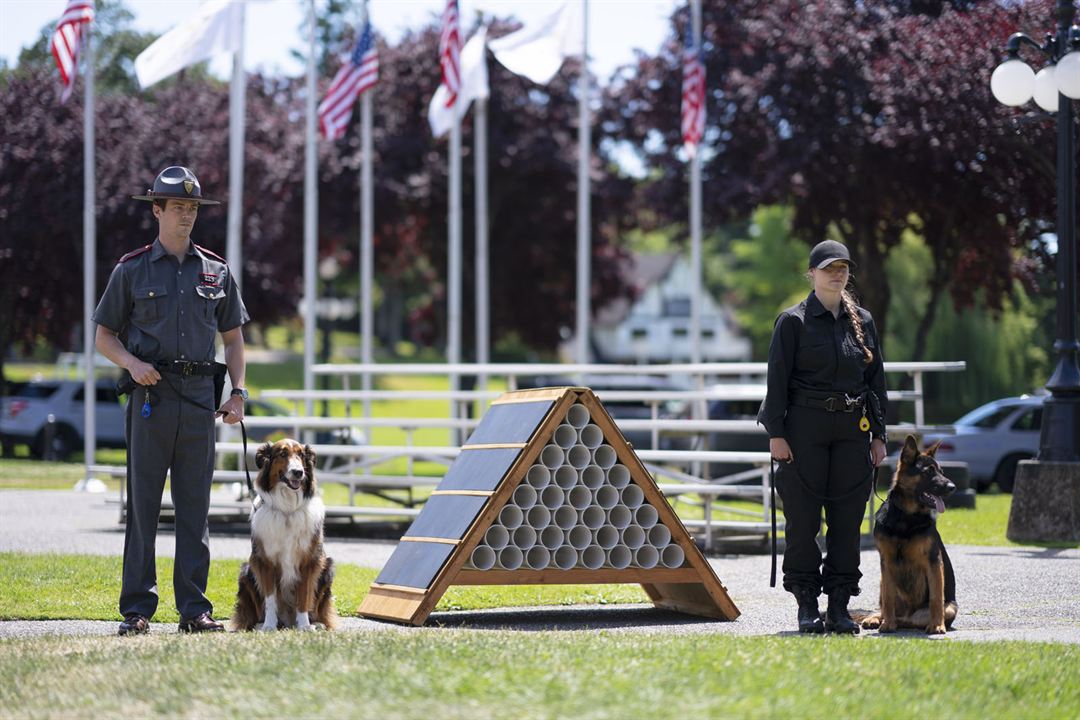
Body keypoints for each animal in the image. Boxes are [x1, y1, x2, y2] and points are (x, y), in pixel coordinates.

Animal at [231, 440, 336, 630]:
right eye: (282, 454)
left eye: (301, 455)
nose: (298, 472)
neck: (288, 507)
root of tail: (287, 621)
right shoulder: (264, 562)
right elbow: (270, 599)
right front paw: (269, 626)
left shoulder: (309, 562)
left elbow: (304, 596)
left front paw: (304, 626)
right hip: (246, 571)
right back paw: (260, 624)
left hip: (327, 568)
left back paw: (316, 623)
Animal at [859, 436, 963, 634]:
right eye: (928, 471)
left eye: (941, 471)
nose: (953, 487)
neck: (906, 516)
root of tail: (908, 615)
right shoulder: (886, 562)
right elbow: (888, 598)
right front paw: (887, 624)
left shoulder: (933, 561)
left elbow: (936, 598)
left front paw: (937, 625)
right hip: (882, 580)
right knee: (885, 608)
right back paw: (877, 619)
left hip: (951, 608)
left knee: (915, 619)